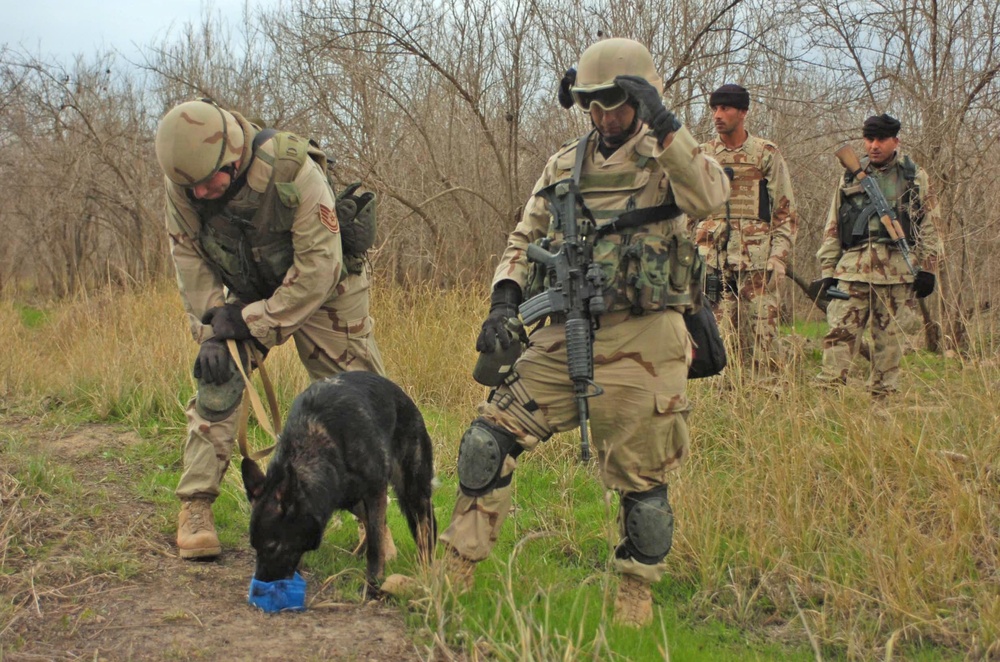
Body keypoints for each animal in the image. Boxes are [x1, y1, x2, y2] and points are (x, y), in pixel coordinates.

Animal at [242, 374, 438, 596]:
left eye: (272, 547)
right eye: (254, 546)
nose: (257, 592)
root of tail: (406, 400)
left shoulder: (375, 491)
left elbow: (376, 543)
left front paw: (373, 584)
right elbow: (373, 531)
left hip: (413, 491)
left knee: (424, 529)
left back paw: (425, 568)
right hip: (353, 500)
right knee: (375, 523)